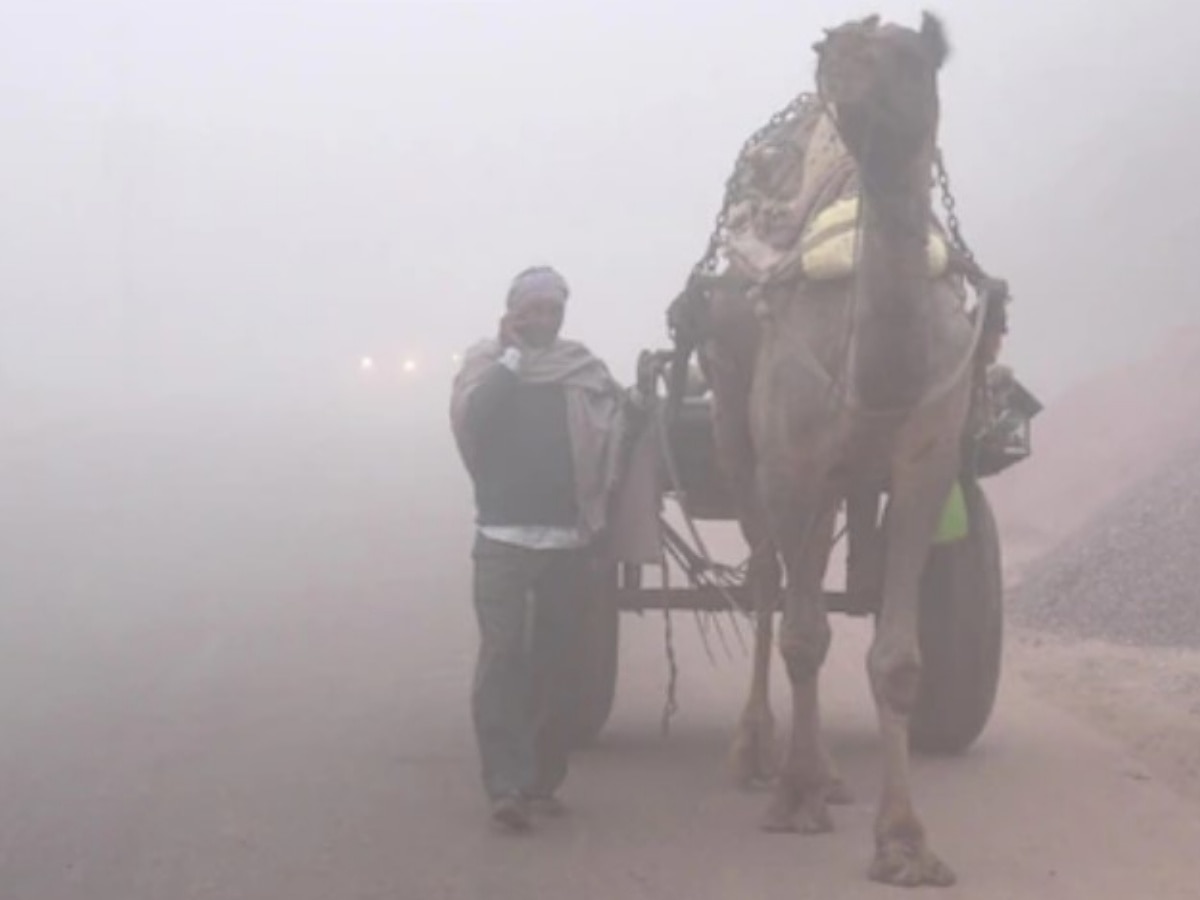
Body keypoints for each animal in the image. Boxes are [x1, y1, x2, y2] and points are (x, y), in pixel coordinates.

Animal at [691, 12, 979, 888]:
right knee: (769, 583)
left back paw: (829, 774)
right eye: (837, 54)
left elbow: (896, 658)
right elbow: (800, 631)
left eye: (910, 59)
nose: (839, 76)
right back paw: (763, 754)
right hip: (740, 433)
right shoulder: (788, 461)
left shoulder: (926, 460)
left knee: (811, 568)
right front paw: (792, 799)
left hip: (843, 476)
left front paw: (906, 843)